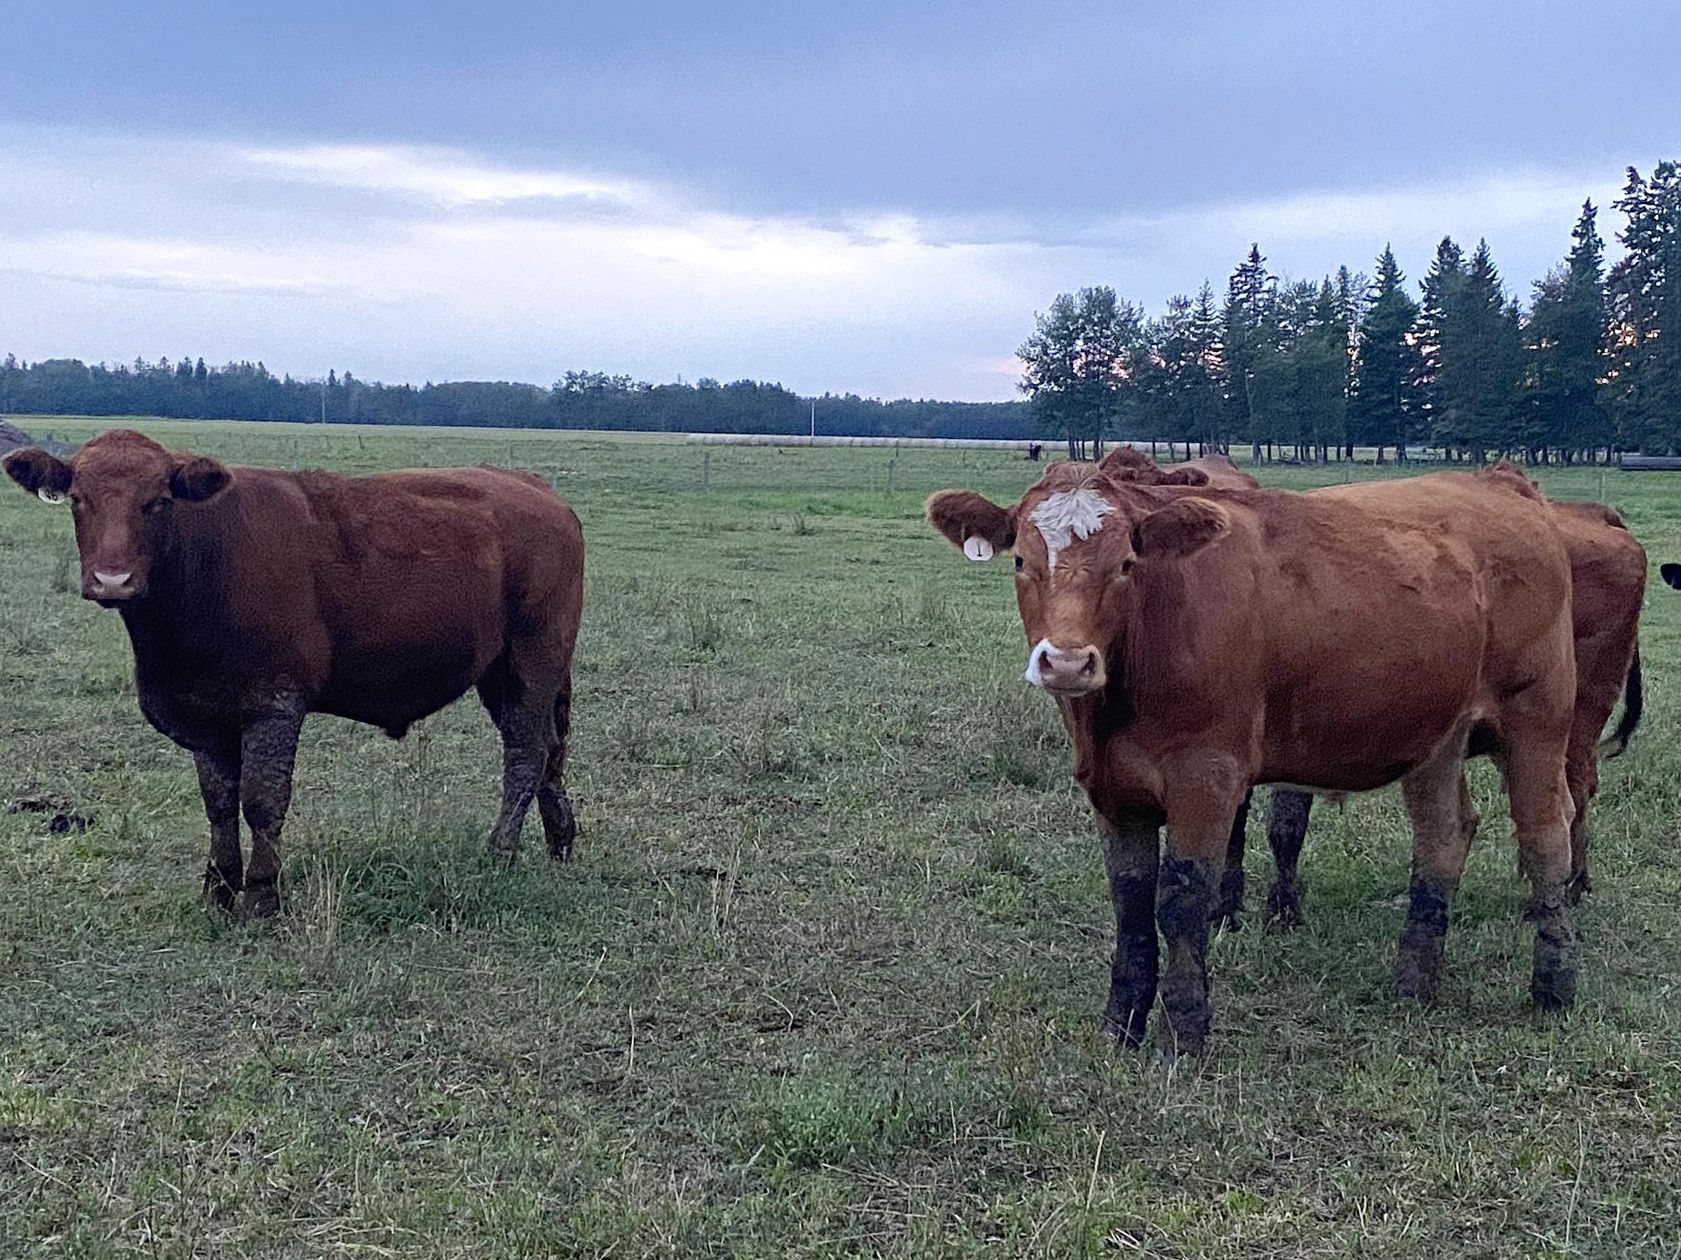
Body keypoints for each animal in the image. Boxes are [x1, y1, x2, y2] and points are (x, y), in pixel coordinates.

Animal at [3, 429, 585, 918]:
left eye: (158, 501)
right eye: (78, 498)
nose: (112, 579)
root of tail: (532, 487)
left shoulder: (273, 702)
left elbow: (262, 799)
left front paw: (262, 895)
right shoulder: (204, 716)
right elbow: (218, 803)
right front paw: (218, 888)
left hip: (533, 658)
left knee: (526, 751)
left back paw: (501, 850)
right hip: (504, 672)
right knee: (547, 748)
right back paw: (560, 839)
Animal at [927, 461, 1580, 1056]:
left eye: (1126, 565)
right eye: (1020, 561)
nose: (1066, 662)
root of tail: (1500, 482)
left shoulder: (1207, 777)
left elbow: (1183, 900)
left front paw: (1182, 1035)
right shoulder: (1112, 790)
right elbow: (1131, 903)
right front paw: (1121, 1026)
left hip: (1537, 722)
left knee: (1547, 835)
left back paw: (1554, 988)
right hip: (1436, 737)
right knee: (1443, 835)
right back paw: (1413, 985)